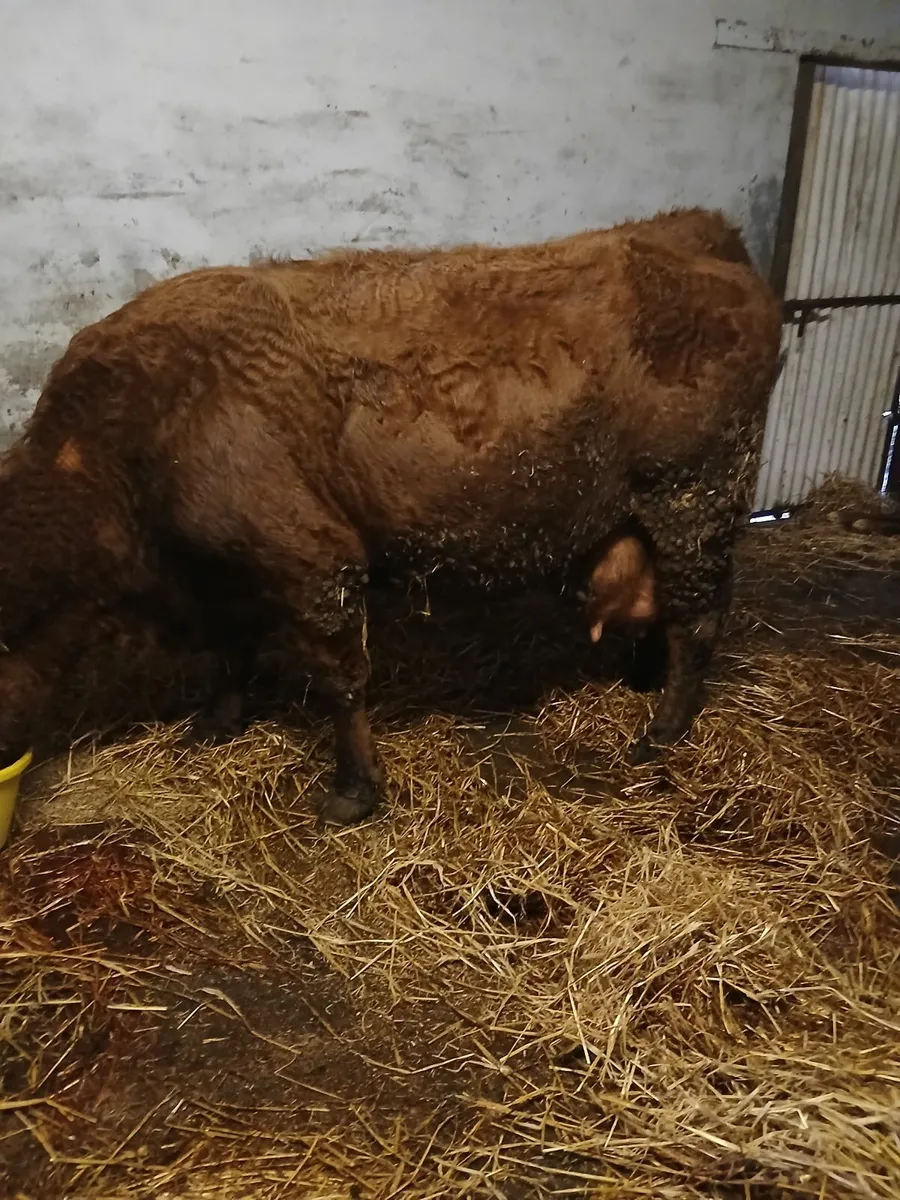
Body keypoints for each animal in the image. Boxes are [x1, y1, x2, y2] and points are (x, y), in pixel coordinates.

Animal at [0, 208, 782, 824]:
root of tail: (693, 229)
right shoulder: (226, 578)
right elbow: (233, 651)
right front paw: (217, 722)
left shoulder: (312, 558)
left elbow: (341, 679)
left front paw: (353, 791)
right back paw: (641, 680)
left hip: (692, 495)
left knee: (698, 620)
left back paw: (662, 732)